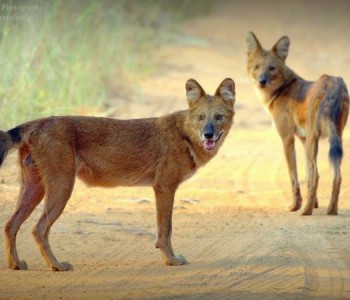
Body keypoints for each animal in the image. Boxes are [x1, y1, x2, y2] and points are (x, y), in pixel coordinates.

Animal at [0, 78, 235, 270]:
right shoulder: (164, 187)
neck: (185, 134)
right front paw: (171, 260)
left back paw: (16, 265)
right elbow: (165, 229)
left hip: (35, 187)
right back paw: (56, 266)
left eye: (218, 117)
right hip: (62, 187)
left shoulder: (164, 188)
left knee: (10, 224)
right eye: (201, 117)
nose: (208, 134)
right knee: (38, 229)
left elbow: (165, 229)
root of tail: (37, 122)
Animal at [247, 31, 348, 216]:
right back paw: (331, 210)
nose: (261, 81)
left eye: (272, 68)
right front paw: (314, 203)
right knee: (337, 176)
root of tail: (333, 82)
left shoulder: (287, 138)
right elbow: (306, 176)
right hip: (335, 138)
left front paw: (296, 205)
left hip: (314, 139)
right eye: (257, 67)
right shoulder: (303, 139)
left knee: (317, 176)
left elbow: (294, 176)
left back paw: (305, 212)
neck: (281, 90)